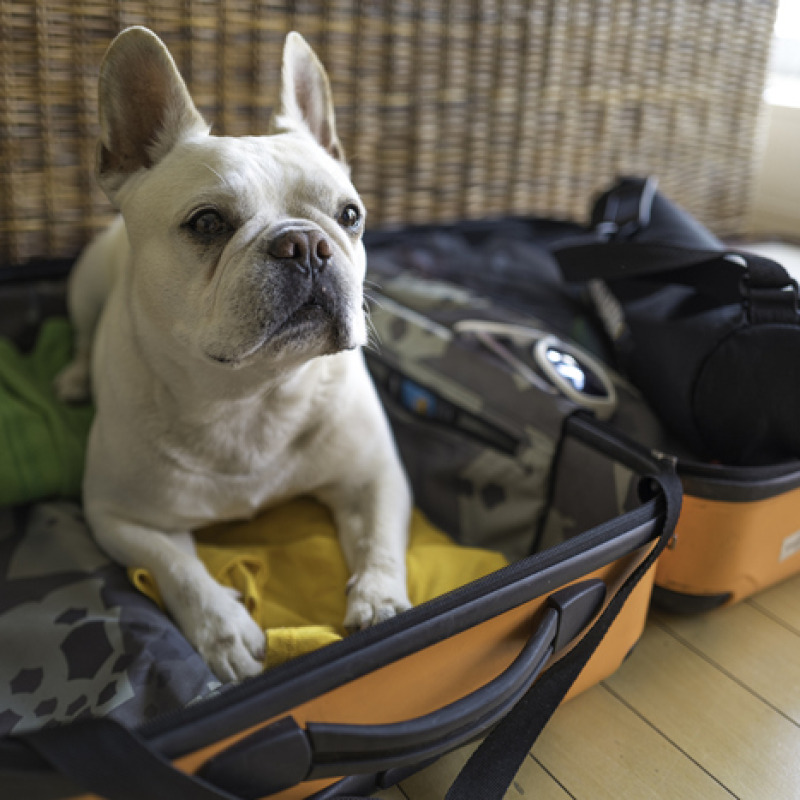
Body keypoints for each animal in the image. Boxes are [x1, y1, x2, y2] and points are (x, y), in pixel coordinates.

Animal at [54, 28, 412, 684]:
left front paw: (380, 603)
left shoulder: (373, 475)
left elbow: (379, 539)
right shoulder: (118, 516)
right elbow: (177, 570)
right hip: (86, 284)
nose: (307, 244)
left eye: (350, 215)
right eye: (207, 223)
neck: (251, 396)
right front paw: (224, 633)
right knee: (81, 333)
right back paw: (71, 378)